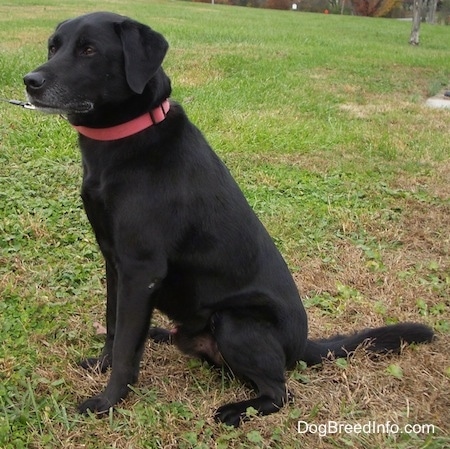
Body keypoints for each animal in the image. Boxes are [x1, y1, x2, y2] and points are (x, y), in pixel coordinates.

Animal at [23, 10, 432, 424]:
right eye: (53, 47)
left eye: (89, 50)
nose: (30, 82)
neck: (125, 139)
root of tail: (302, 346)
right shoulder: (114, 261)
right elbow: (113, 323)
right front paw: (102, 366)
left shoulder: (141, 268)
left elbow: (125, 346)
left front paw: (108, 401)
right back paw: (160, 335)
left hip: (235, 322)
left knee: (280, 392)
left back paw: (236, 410)